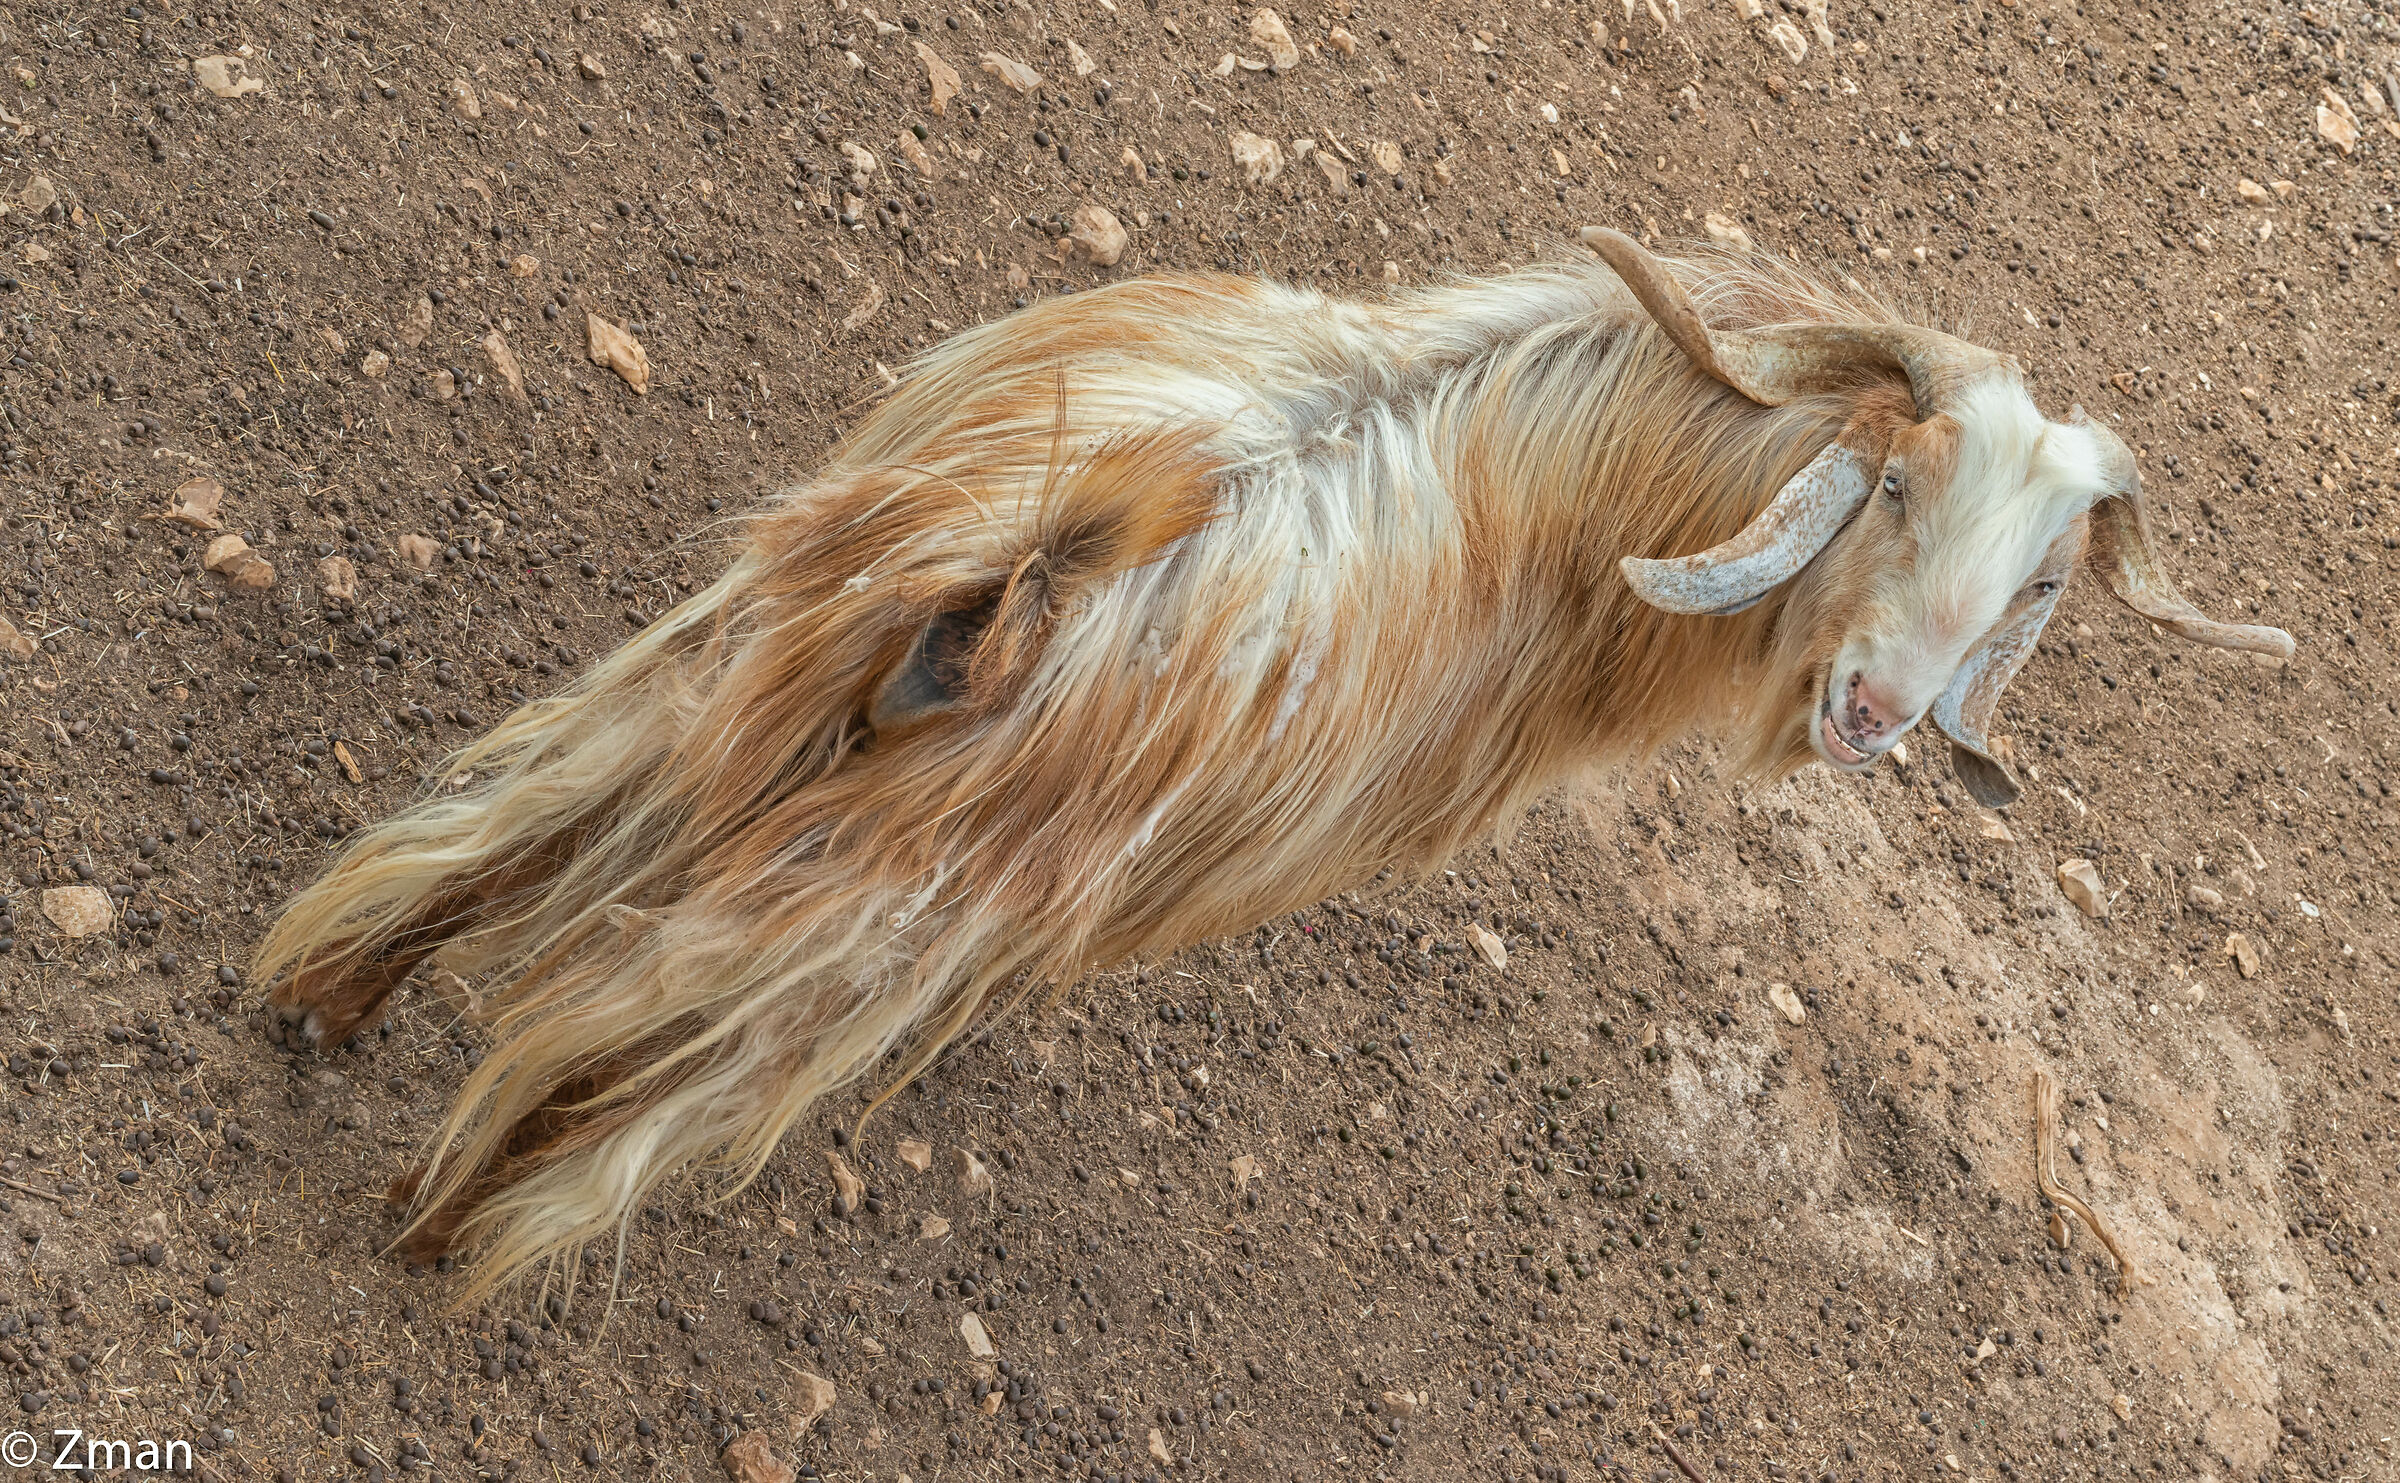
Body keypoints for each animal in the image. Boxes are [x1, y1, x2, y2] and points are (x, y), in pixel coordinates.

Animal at [257, 232, 2291, 1292]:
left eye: (2041, 578)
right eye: (1896, 488)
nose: (1876, 712)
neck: (1572, 488)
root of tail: (1037, 562)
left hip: (745, 664)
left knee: (521, 826)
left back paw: (328, 1001)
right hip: (885, 911)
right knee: (627, 1052)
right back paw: (448, 1232)